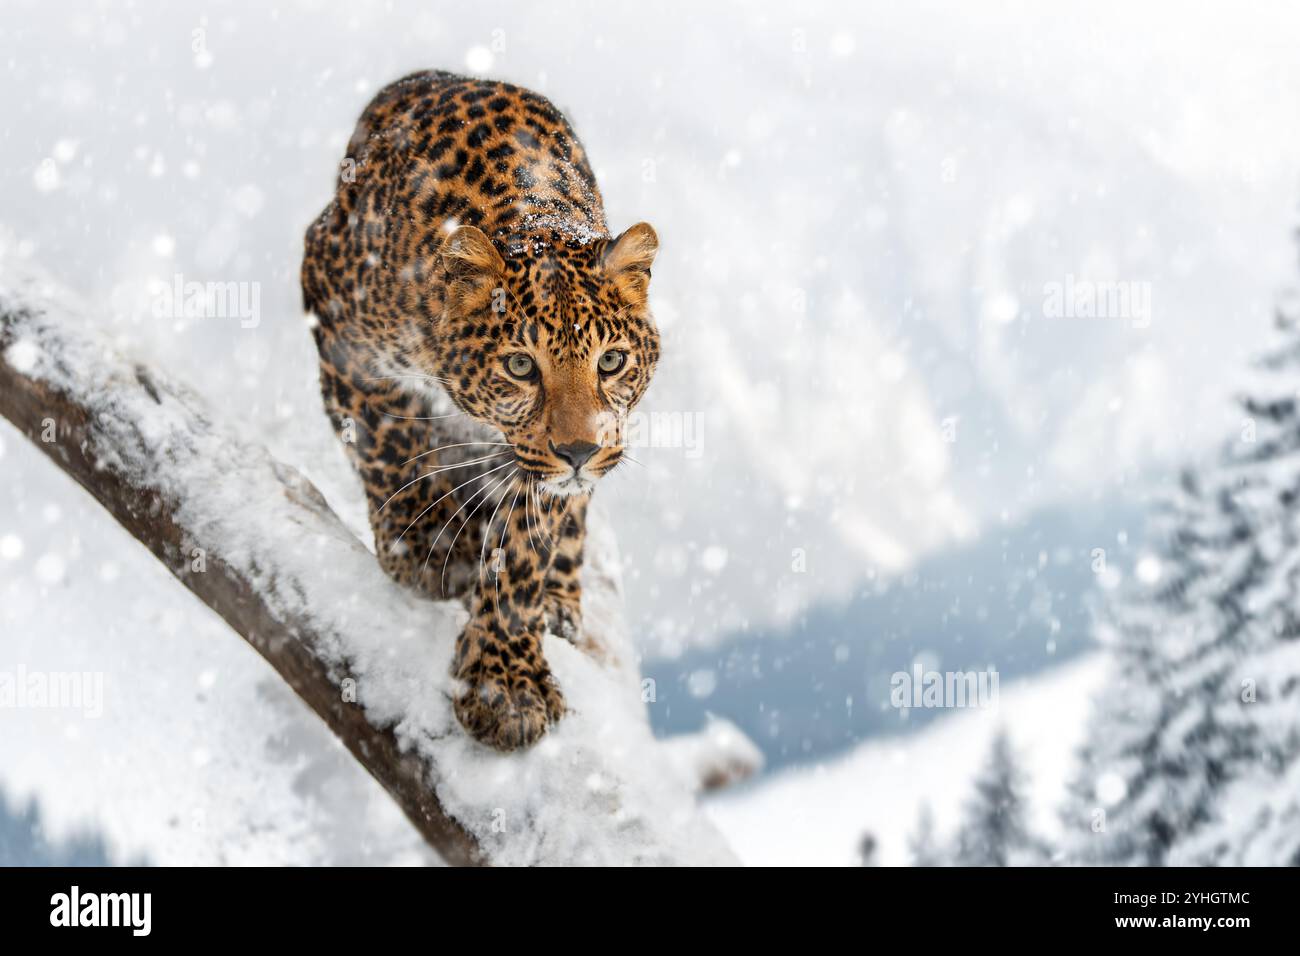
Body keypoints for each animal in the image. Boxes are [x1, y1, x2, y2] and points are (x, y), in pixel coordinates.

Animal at [300, 70, 660, 751]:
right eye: (520, 366)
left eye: (610, 361)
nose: (581, 451)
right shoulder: (334, 314)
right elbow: (385, 435)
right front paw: (425, 542)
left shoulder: (539, 464)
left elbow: (524, 553)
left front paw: (505, 683)